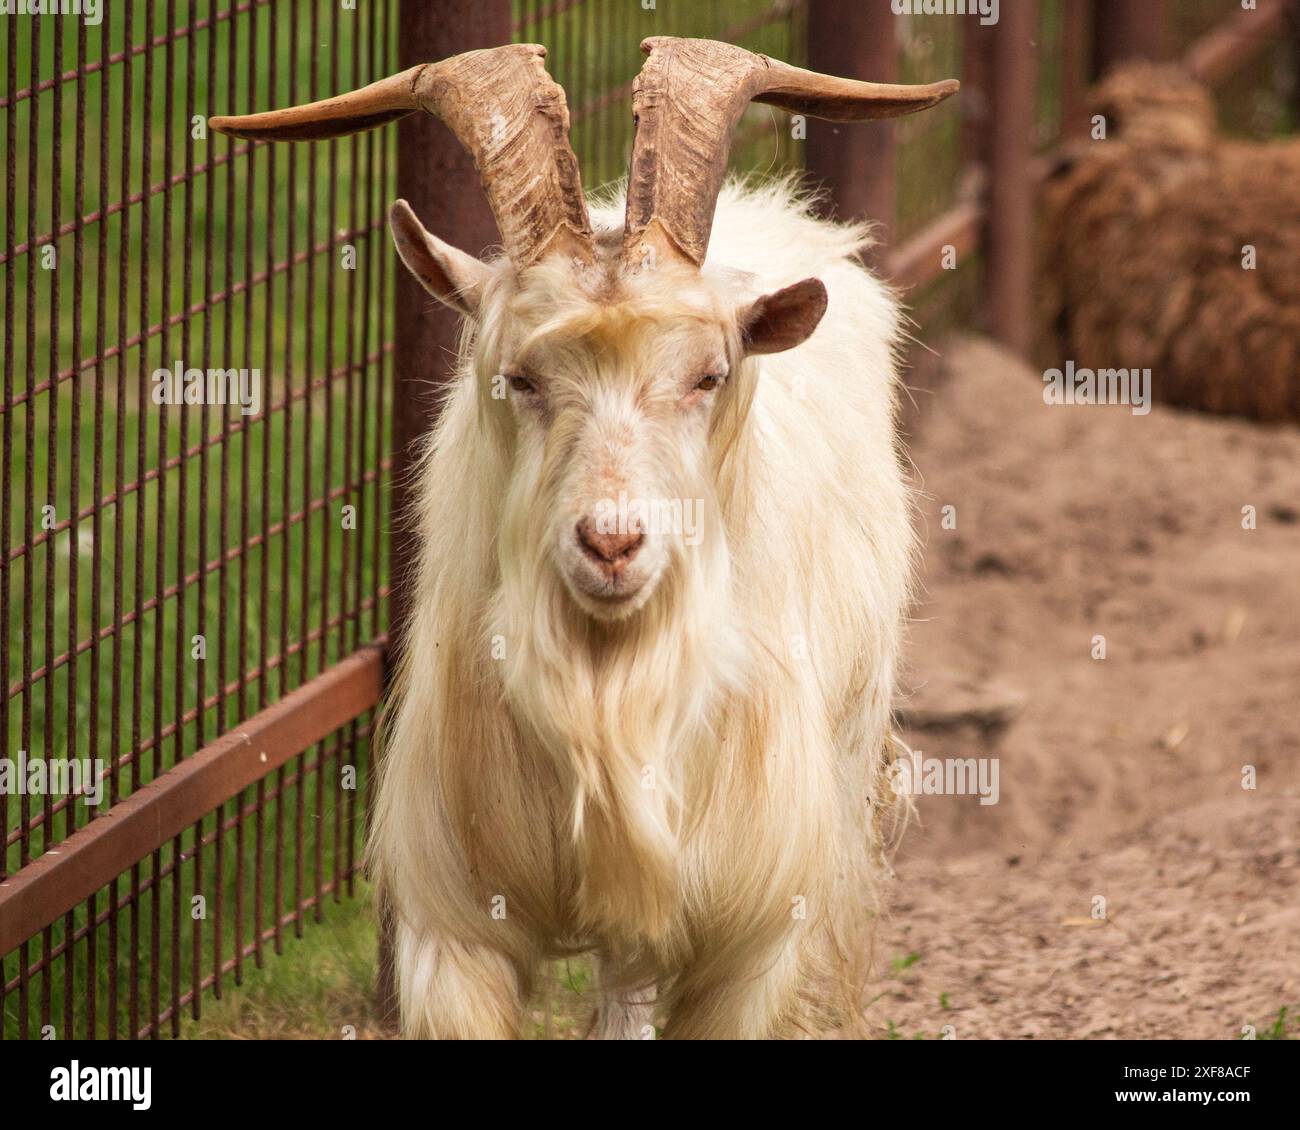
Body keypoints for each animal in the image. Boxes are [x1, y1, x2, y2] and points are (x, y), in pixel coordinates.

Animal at [213, 37, 961, 1040]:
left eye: (710, 375)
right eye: (520, 377)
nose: (611, 545)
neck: (606, 686)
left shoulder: (750, 937)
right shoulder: (455, 921)